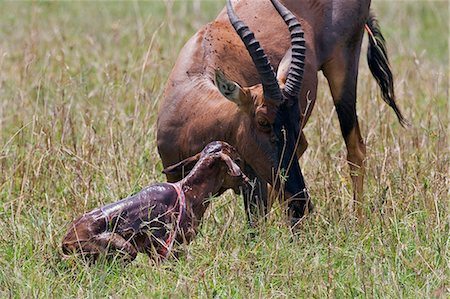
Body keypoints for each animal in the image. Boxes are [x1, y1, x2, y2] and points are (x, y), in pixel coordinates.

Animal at [61, 142, 248, 264]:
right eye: (237, 159)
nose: (247, 180)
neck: (189, 192)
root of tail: (65, 241)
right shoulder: (165, 250)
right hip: (126, 249)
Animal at [156, 0, 406, 225]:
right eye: (263, 122)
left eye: (296, 118)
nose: (302, 201)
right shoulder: (174, 177)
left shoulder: (254, 181)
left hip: (343, 65)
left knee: (355, 148)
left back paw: (358, 222)